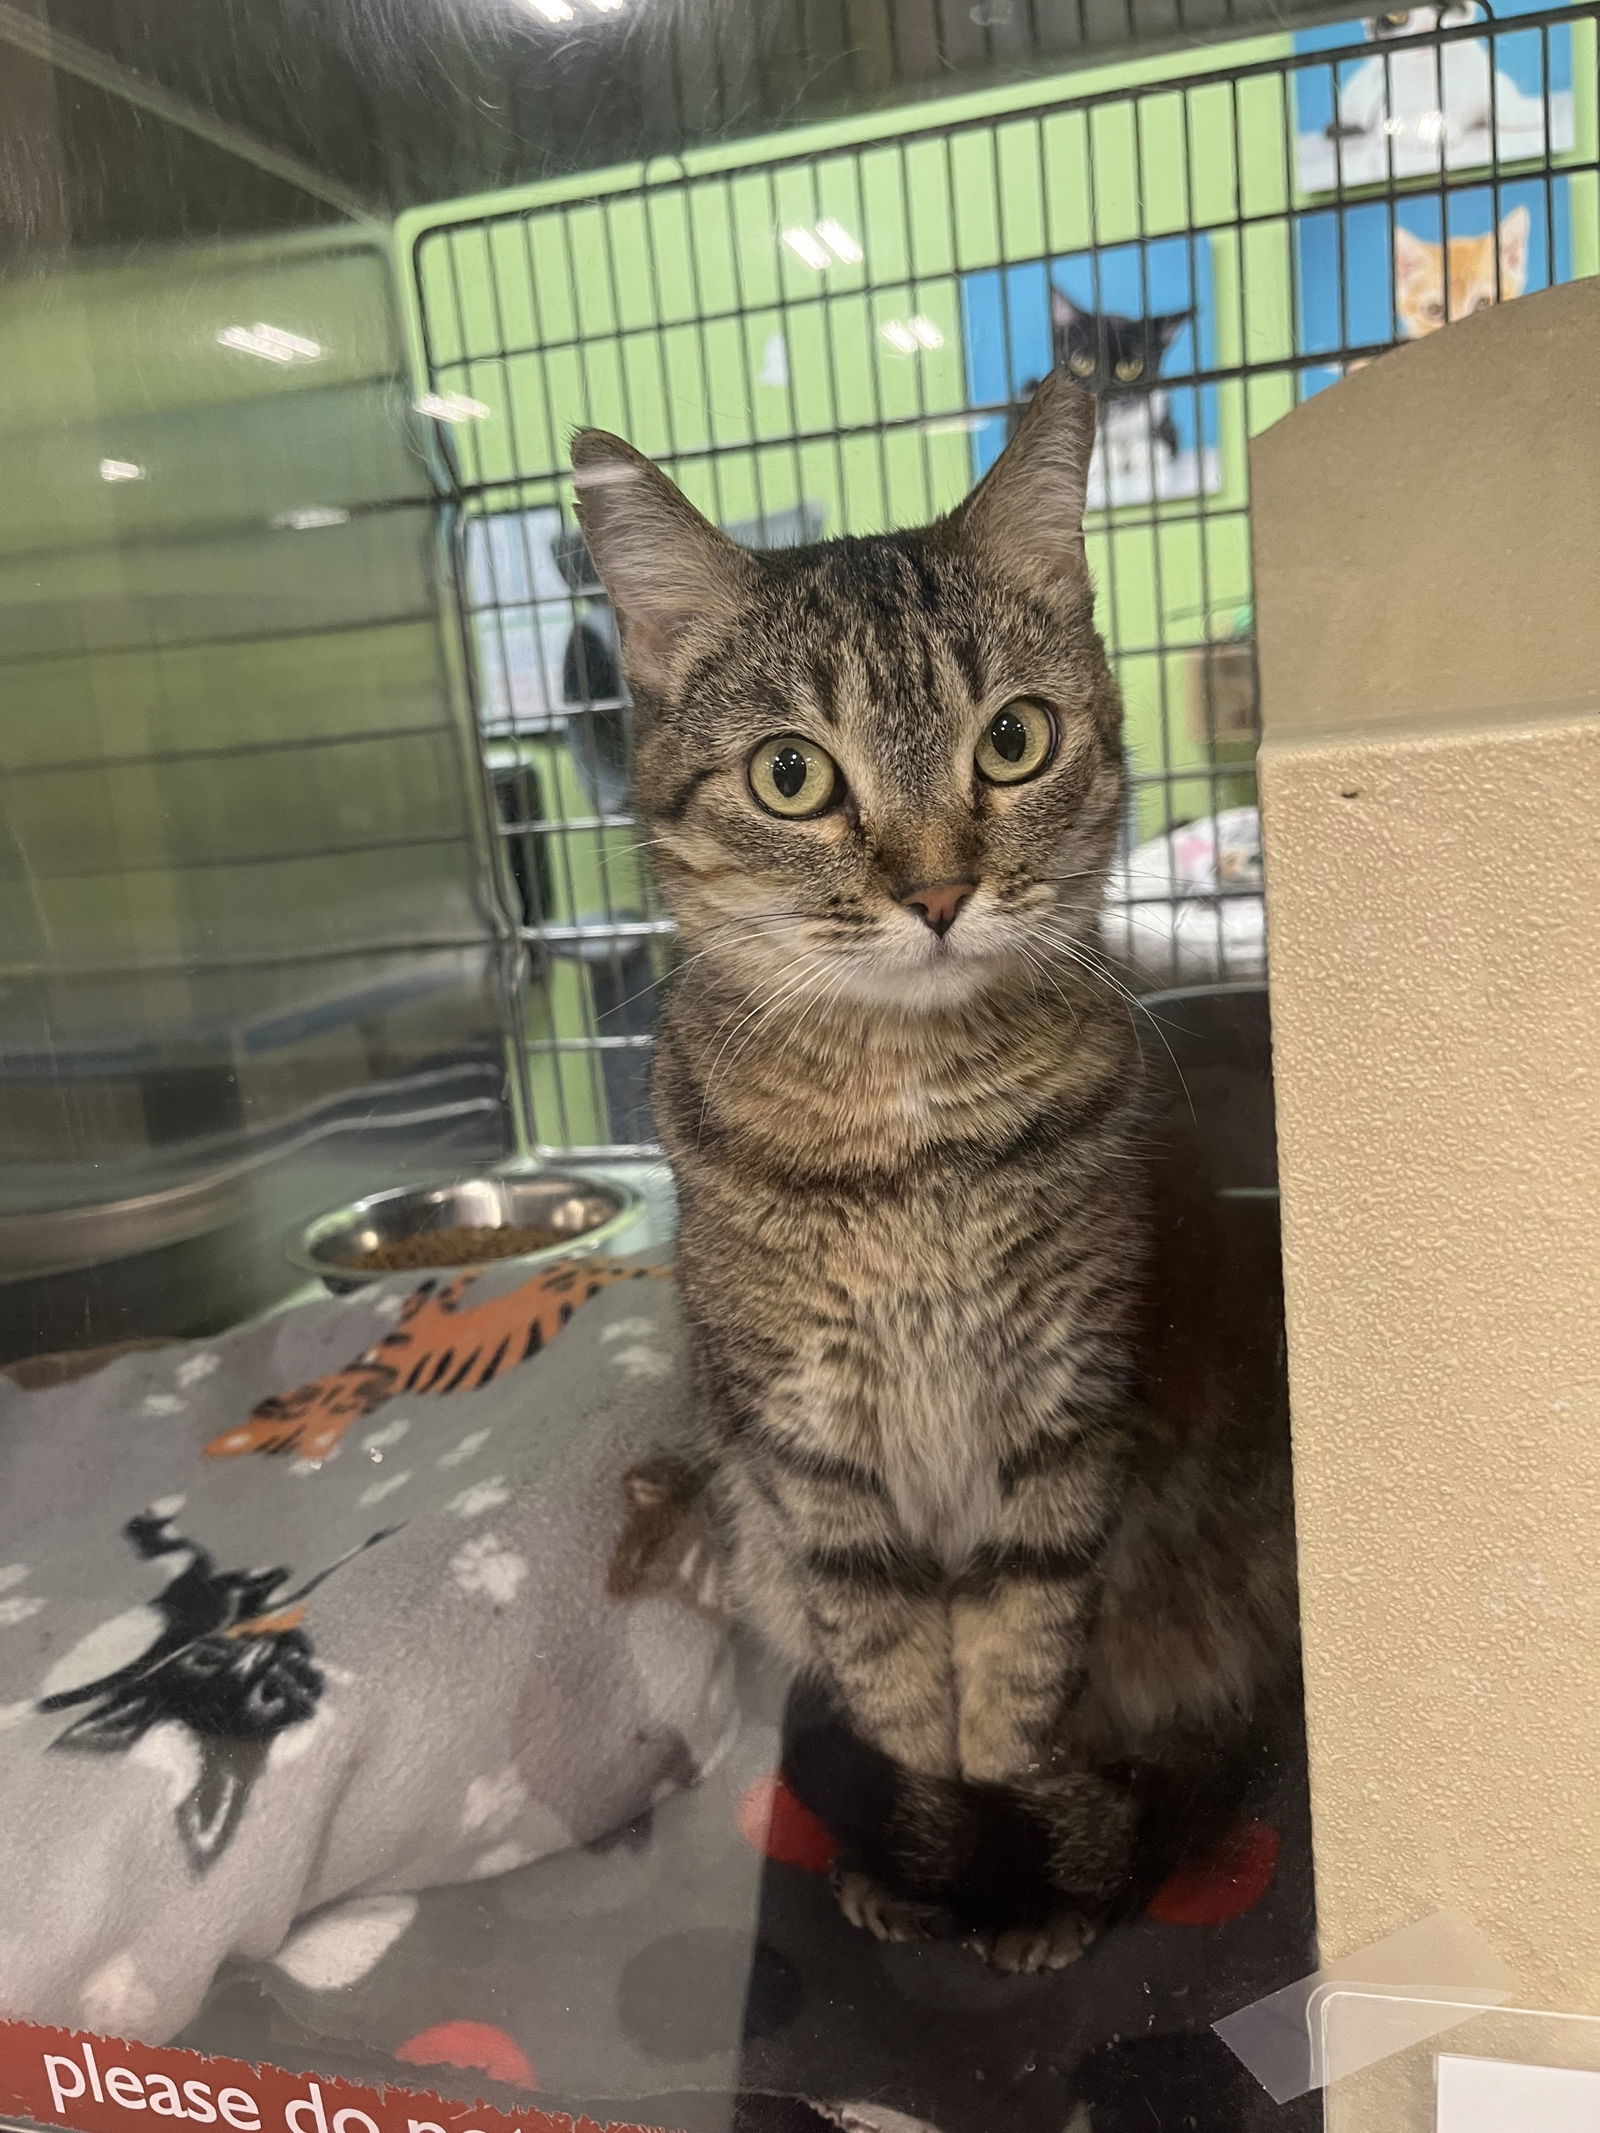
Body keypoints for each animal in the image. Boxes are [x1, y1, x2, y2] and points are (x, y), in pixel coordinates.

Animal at [571, 371, 1297, 1962]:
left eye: (1012, 741)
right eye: (791, 775)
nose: (941, 891)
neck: (911, 1144)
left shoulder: (1063, 1422)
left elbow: (1016, 1685)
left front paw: (1031, 1870)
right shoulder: (817, 1465)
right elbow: (905, 1692)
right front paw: (932, 1859)